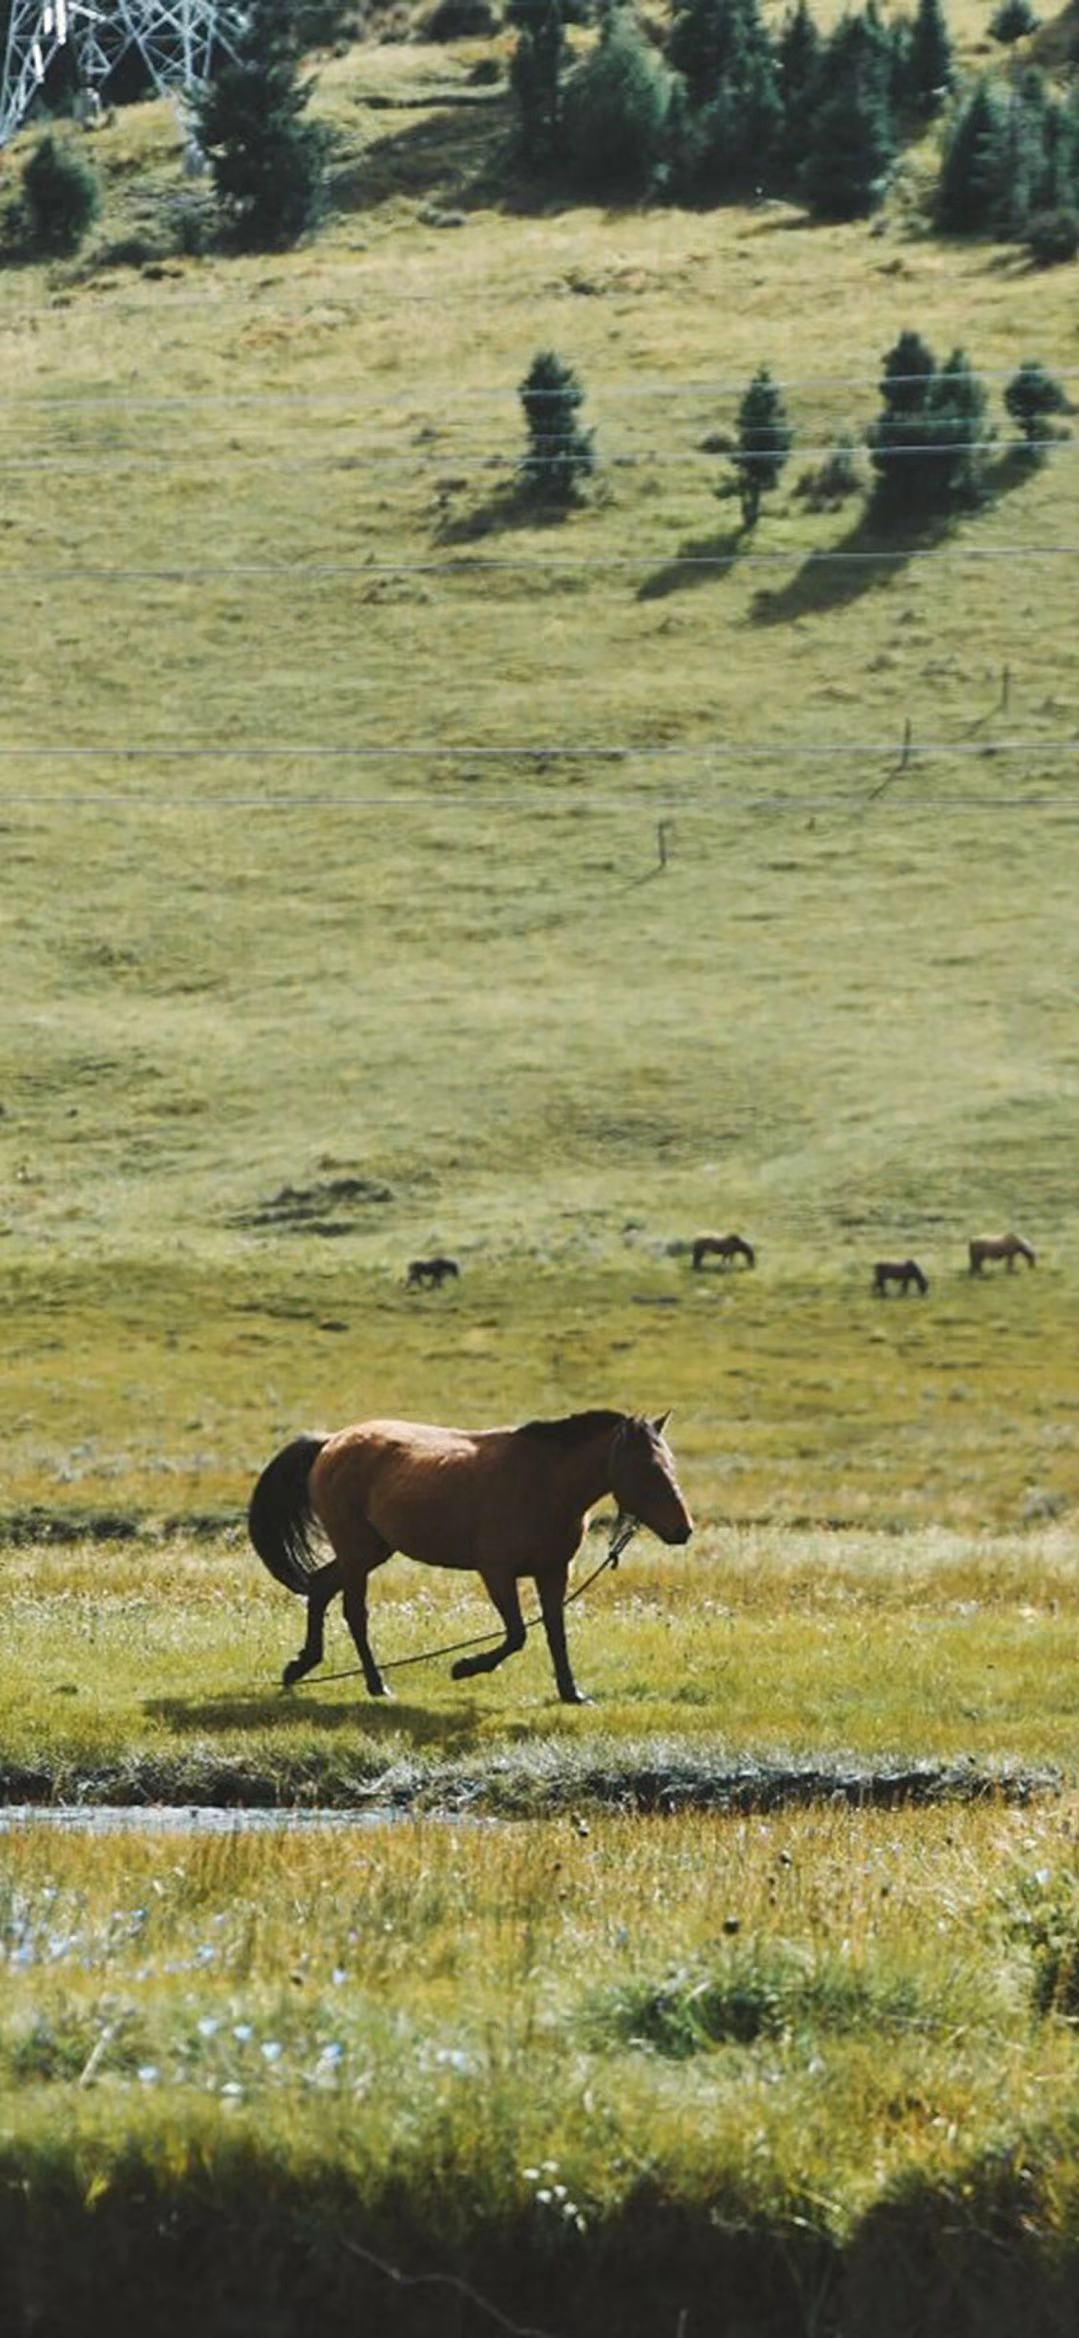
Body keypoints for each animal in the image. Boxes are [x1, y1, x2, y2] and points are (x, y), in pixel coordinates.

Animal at [246, 1402, 691, 1702]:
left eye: (671, 1463)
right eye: (648, 1469)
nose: (683, 1530)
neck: (543, 1483)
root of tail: (329, 1444)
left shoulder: (553, 1572)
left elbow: (555, 1632)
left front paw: (571, 1692)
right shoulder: (496, 1572)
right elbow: (516, 1635)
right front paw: (466, 1667)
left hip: (371, 1549)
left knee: (321, 1586)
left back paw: (300, 1666)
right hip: (356, 1551)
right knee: (354, 1612)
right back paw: (376, 1683)